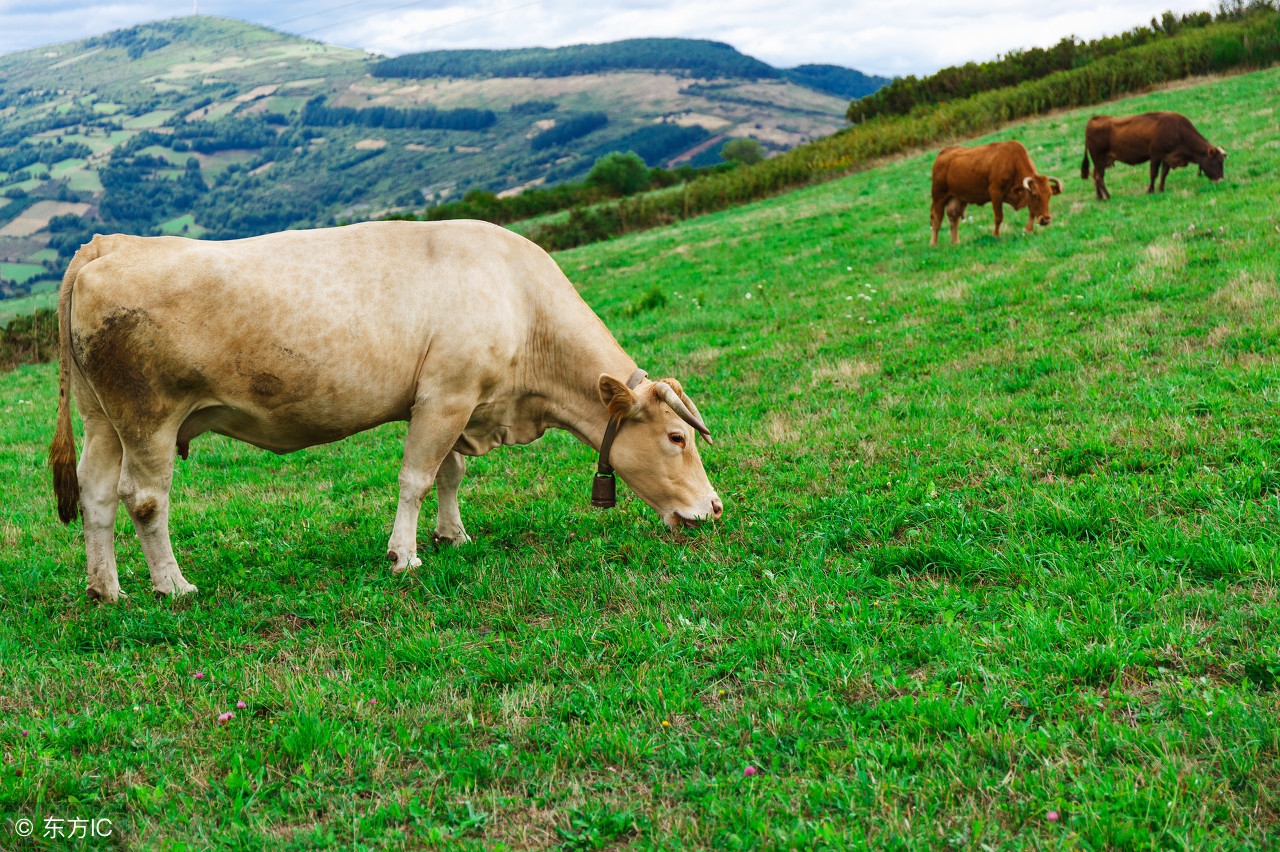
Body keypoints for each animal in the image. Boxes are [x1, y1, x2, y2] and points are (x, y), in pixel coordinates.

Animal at [49, 222, 727, 601]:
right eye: (677, 437)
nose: (716, 507)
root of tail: (106, 246)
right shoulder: (446, 395)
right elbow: (416, 478)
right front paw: (405, 555)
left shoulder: (457, 403)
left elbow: (451, 474)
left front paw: (453, 534)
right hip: (148, 417)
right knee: (145, 500)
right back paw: (173, 586)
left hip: (102, 419)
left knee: (97, 495)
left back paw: (107, 588)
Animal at [931, 139, 1059, 245]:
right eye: (1035, 194)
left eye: (1049, 195)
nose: (1046, 219)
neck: (1013, 162)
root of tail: (943, 152)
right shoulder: (996, 193)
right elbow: (998, 217)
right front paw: (996, 235)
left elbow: (1032, 211)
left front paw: (1028, 230)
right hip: (939, 196)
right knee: (936, 219)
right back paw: (934, 244)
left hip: (957, 198)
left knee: (954, 216)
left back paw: (955, 242)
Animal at [1085, 111, 1223, 199]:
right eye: (1217, 162)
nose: (1221, 180)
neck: (1178, 131)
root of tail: (1094, 119)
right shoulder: (1156, 155)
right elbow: (1154, 173)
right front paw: (1150, 190)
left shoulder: (1168, 157)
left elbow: (1164, 173)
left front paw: (1161, 189)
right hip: (1099, 159)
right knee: (1099, 177)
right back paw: (1108, 196)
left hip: (1101, 161)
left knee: (1094, 175)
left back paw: (1099, 196)